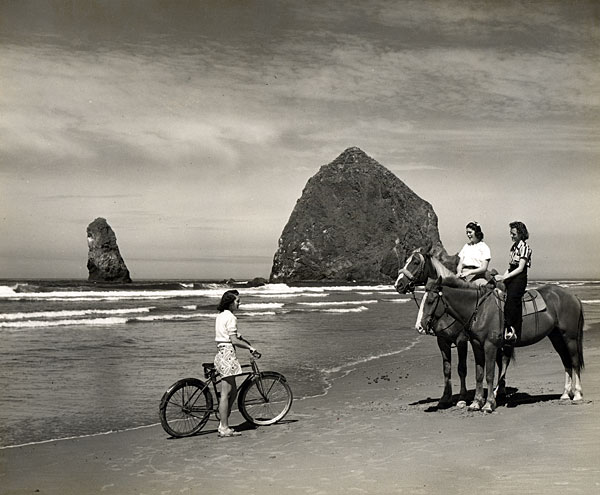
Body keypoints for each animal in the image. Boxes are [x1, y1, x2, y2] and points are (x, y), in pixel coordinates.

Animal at [418, 278, 580, 412]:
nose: (420, 326)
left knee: (574, 361)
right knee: (566, 361)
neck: (480, 310)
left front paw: (488, 404)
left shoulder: (489, 346)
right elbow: (479, 374)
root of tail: (573, 296)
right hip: (556, 337)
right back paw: (565, 394)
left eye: (431, 301)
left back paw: (577, 395)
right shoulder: (477, 345)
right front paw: (476, 403)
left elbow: (489, 374)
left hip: (570, 337)